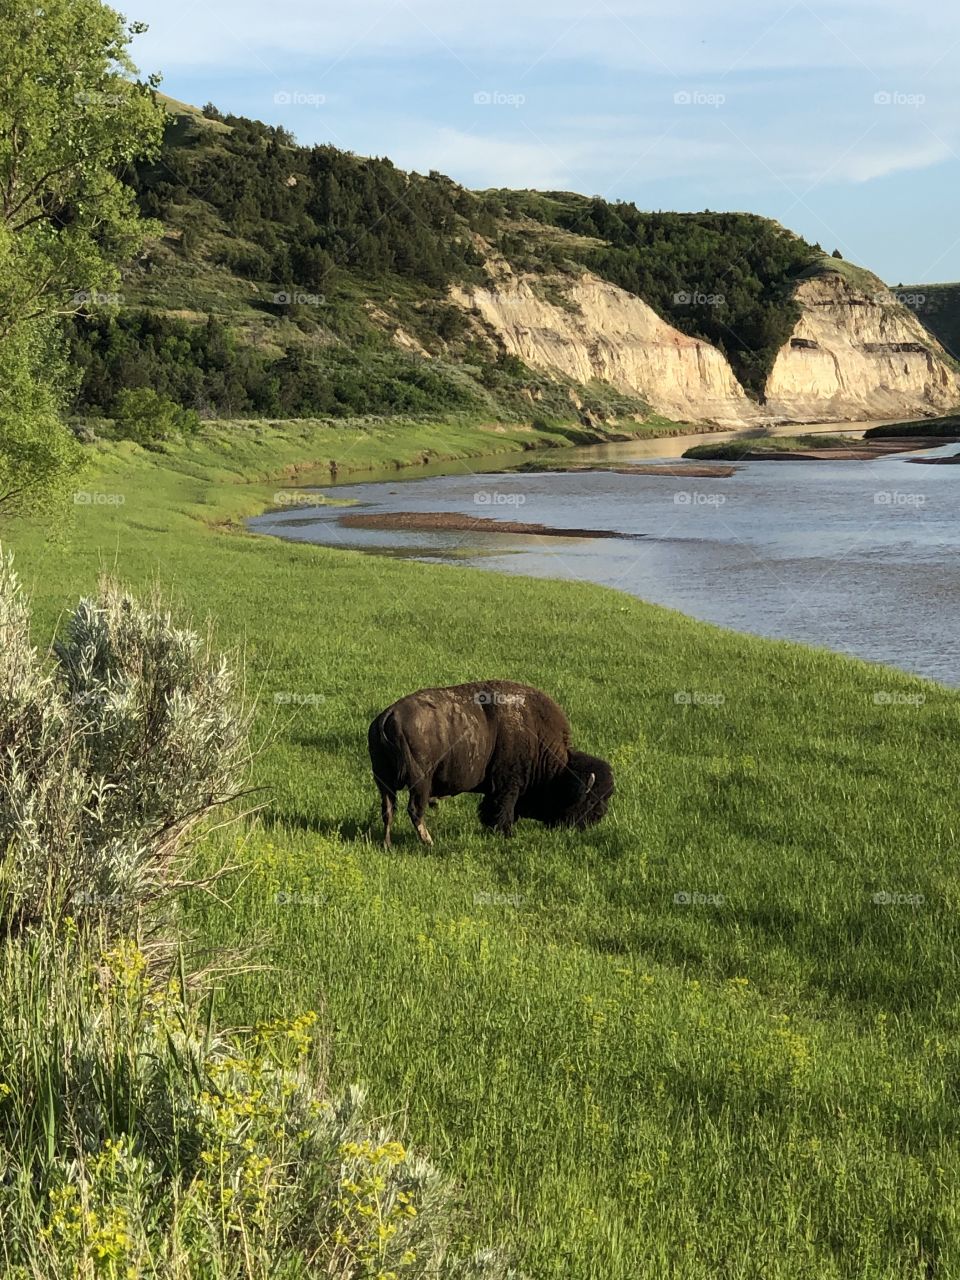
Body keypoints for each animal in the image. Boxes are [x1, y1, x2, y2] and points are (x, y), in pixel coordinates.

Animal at [367, 680, 614, 846]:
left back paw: (388, 844)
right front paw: (507, 833)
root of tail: (387, 716)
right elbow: (504, 808)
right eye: (591, 801)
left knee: (388, 810)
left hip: (384, 782)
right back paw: (429, 842)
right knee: (415, 810)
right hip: (421, 782)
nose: (597, 819)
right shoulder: (508, 785)